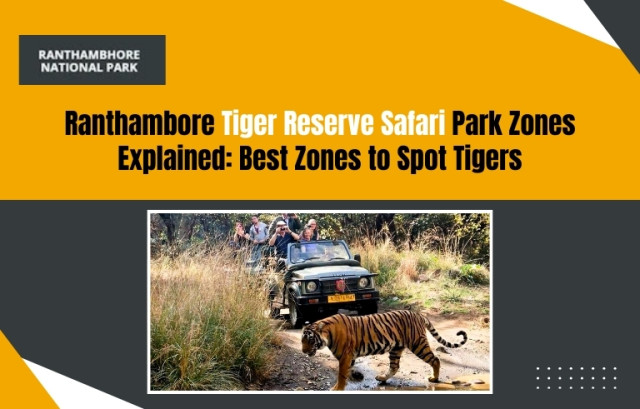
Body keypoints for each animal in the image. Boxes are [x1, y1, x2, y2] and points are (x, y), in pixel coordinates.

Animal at [301, 310, 467, 390]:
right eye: (302, 340)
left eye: (310, 340)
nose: (303, 351)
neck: (328, 334)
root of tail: (418, 314)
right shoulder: (349, 357)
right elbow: (347, 371)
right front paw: (353, 378)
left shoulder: (345, 356)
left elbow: (341, 375)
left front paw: (337, 388)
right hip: (396, 348)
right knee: (395, 366)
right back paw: (382, 378)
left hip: (417, 344)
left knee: (435, 359)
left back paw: (434, 378)